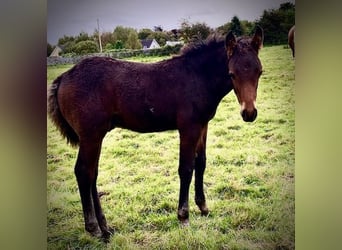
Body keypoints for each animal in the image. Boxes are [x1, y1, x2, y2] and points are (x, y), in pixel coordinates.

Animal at [46, 26, 264, 241]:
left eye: (260, 72)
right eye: (232, 73)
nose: (249, 113)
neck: (197, 77)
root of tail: (63, 77)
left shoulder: (203, 125)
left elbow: (201, 163)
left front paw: (203, 207)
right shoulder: (189, 128)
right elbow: (186, 168)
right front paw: (183, 216)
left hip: (95, 136)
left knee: (92, 173)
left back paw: (105, 228)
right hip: (90, 135)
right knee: (84, 172)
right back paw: (93, 228)